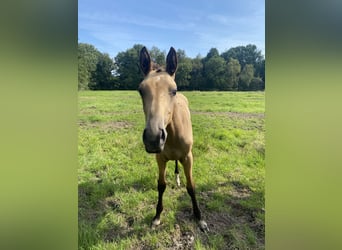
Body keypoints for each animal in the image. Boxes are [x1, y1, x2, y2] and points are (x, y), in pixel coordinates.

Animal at [139, 46, 208, 231]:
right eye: (141, 91)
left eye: (173, 91)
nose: (153, 138)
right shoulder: (160, 158)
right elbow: (161, 185)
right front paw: (157, 216)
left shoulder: (188, 157)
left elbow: (191, 186)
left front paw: (199, 218)